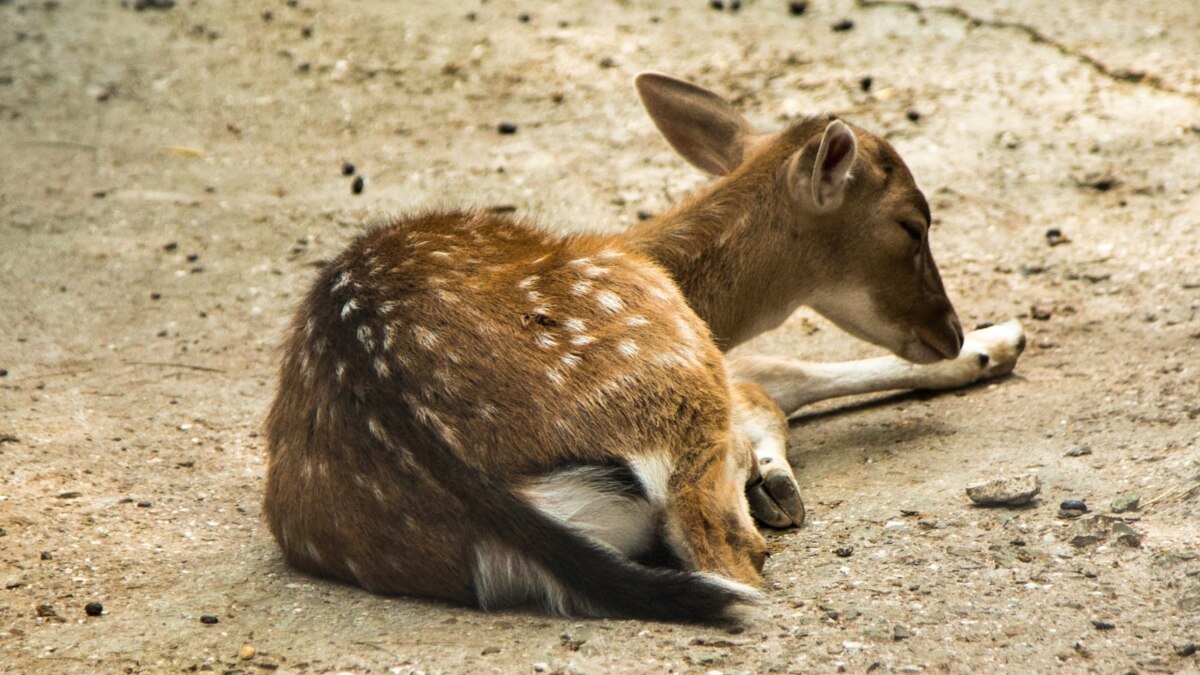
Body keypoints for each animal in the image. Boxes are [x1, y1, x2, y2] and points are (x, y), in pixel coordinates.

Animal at [262, 72, 1022, 619]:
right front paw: (999, 343)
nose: (951, 330)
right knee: (727, 550)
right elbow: (775, 376)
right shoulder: (703, 342)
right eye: (913, 224)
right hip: (667, 369)